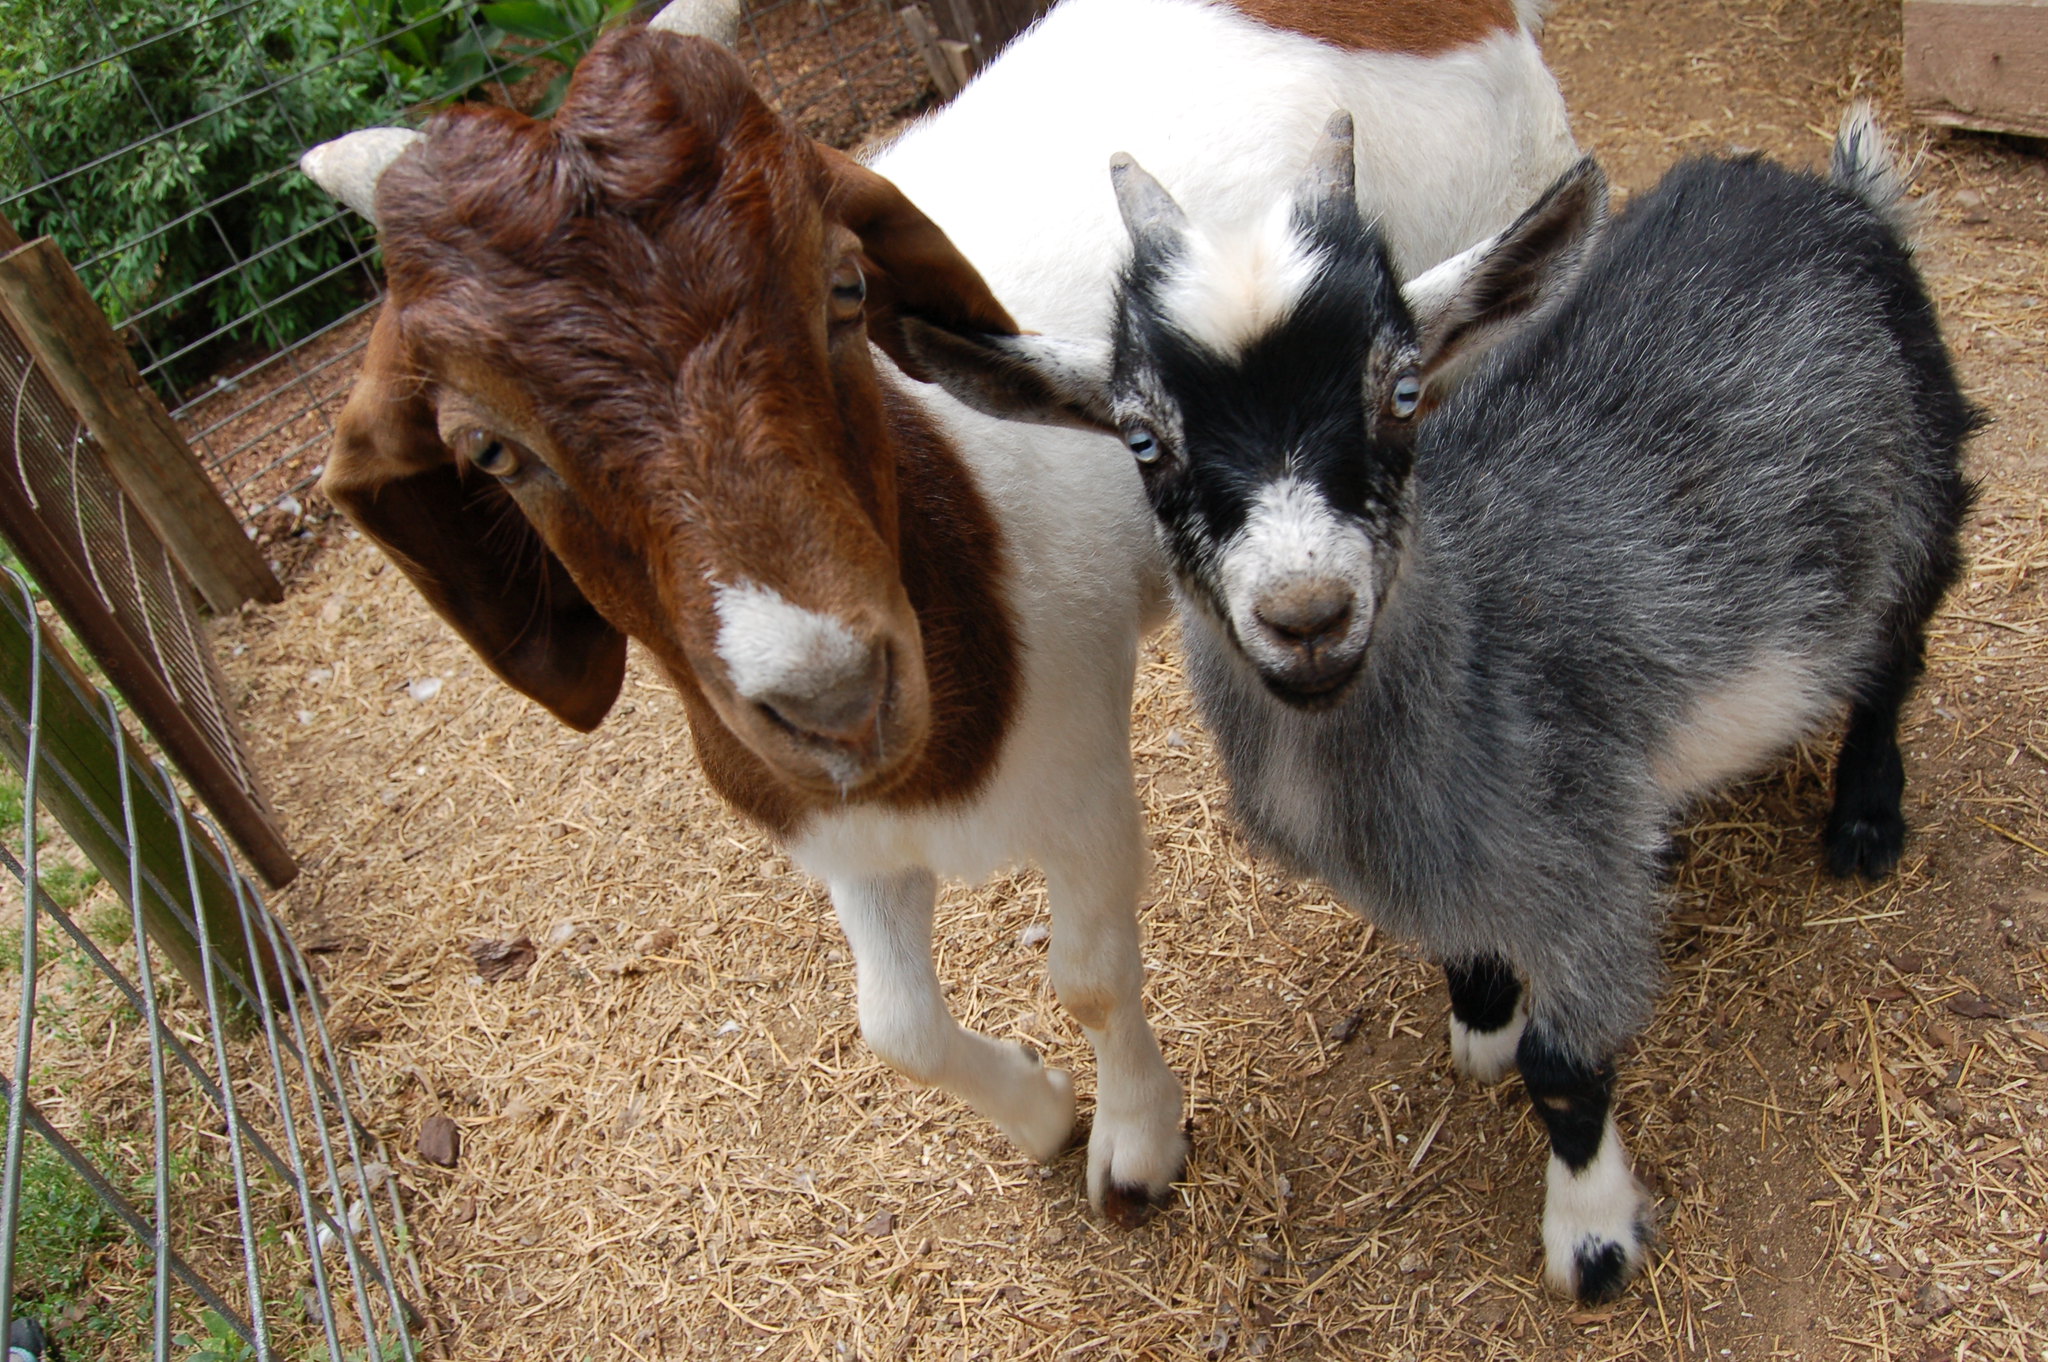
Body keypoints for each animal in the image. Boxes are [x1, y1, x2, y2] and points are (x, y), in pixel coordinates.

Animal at [298, 0, 1577, 1223]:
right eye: (488, 448)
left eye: (843, 288)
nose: (834, 697)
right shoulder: (838, 832)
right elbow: (893, 1027)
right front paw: (1040, 1111)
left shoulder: (1079, 777)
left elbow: (1087, 974)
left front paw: (1133, 1147)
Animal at [909, 109, 1976, 1294]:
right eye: (1143, 439)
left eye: (1404, 392)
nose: (1307, 612)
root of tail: (1841, 198)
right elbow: (1462, 951)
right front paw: (1482, 1012)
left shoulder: (1584, 852)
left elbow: (1564, 1066)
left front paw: (1590, 1235)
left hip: (1919, 489)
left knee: (1894, 652)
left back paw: (1866, 819)